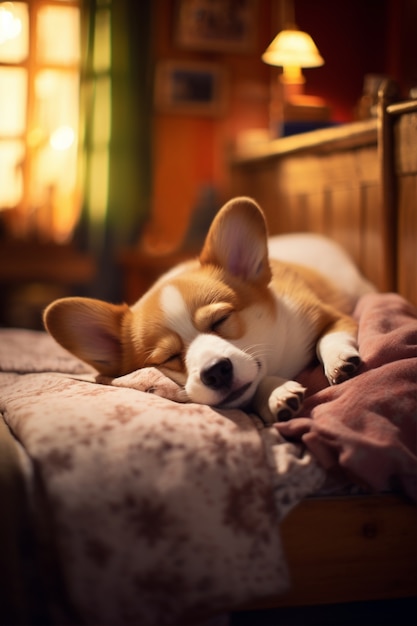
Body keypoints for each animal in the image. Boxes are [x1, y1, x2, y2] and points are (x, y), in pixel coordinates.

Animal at [43, 197, 374, 422]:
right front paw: (276, 393)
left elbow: (329, 338)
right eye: (168, 358)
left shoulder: (329, 315)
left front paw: (339, 362)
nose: (215, 371)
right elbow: (255, 387)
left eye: (221, 320)